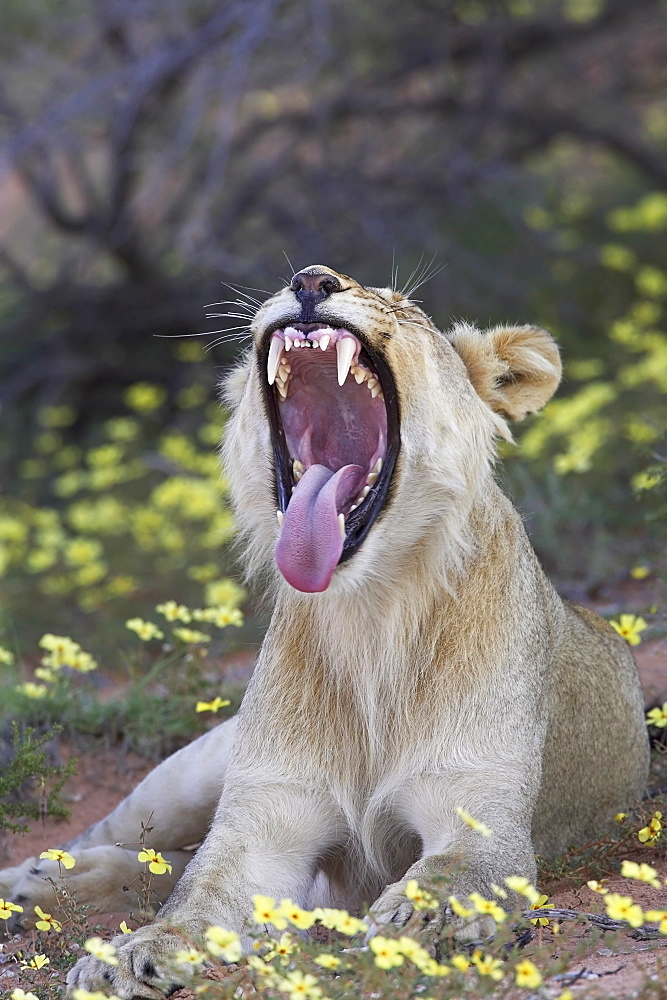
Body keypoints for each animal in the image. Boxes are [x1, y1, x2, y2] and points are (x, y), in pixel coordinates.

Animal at [0, 262, 648, 996]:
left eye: (404, 307)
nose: (311, 279)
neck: (368, 614)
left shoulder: (481, 813)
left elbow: (448, 876)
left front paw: (414, 923)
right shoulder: (262, 823)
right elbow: (194, 898)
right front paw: (132, 955)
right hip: (186, 776)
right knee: (136, 846)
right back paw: (34, 880)